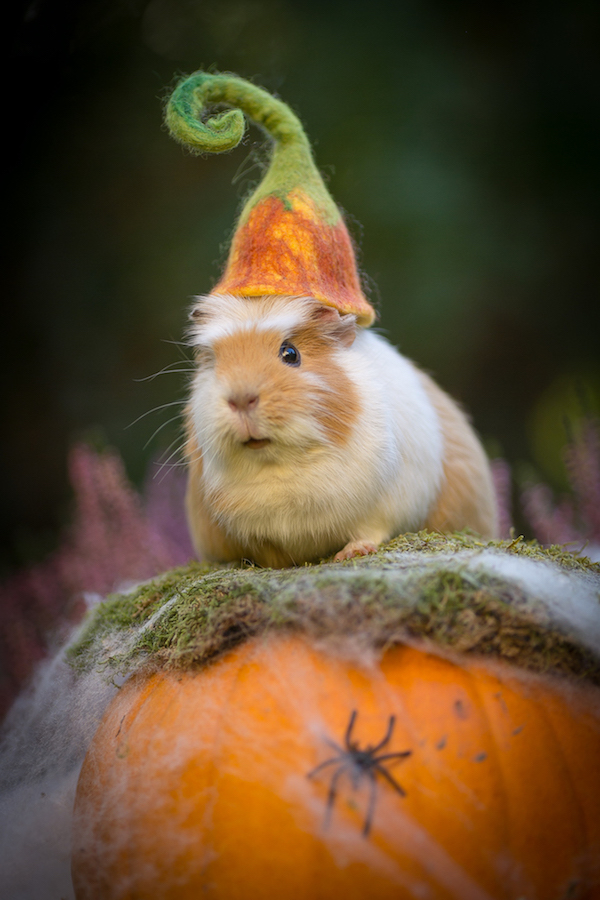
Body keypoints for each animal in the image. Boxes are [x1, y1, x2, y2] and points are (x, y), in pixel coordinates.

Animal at [184, 292, 498, 568]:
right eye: (218, 363)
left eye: (290, 354)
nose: (240, 398)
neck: (278, 467)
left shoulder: (390, 504)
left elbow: (372, 530)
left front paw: (351, 553)